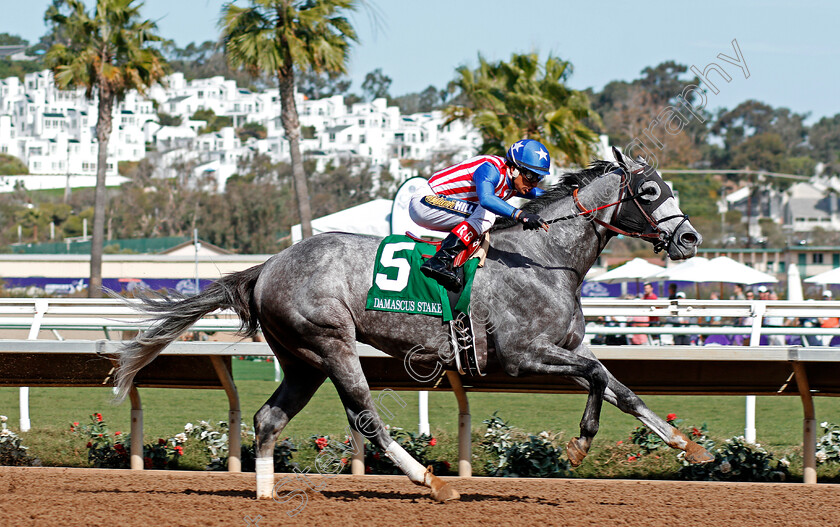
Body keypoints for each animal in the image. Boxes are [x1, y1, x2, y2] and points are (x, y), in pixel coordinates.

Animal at [115, 150, 712, 504]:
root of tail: (268, 266)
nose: (689, 240)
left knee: (267, 418)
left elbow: (618, 387)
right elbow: (594, 377)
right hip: (331, 343)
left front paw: (688, 445)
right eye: (651, 192)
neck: (546, 258)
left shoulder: (566, 346)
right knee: (366, 418)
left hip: (302, 360)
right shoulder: (523, 355)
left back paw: (266, 494)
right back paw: (429, 480)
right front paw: (580, 445)